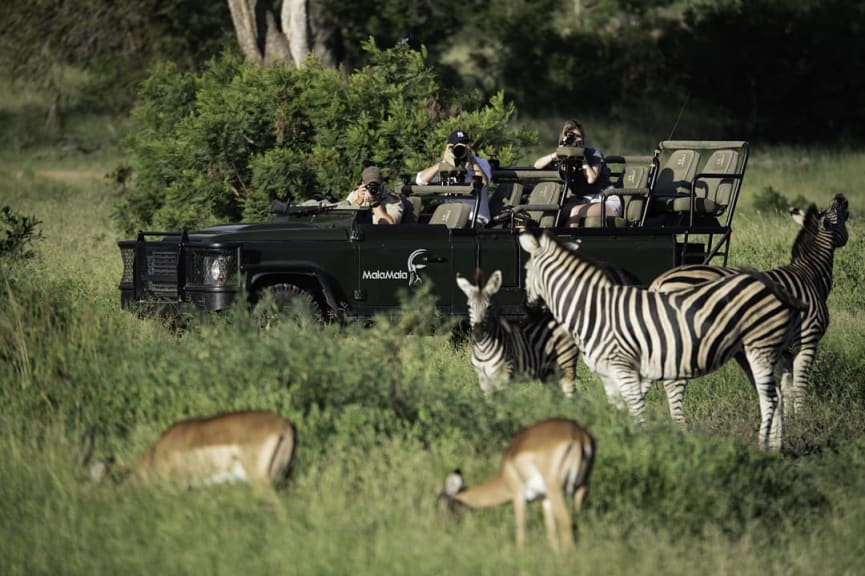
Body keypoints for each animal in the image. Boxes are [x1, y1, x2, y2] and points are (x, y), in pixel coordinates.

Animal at [438, 418, 592, 552]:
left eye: (440, 505)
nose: (441, 530)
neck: (505, 474)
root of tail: (578, 435)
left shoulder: (518, 496)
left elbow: (520, 528)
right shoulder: (544, 499)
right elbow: (551, 532)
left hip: (556, 490)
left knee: (566, 524)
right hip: (580, 489)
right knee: (576, 523)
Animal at [452, 270, 580, 396]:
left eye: (489, 307)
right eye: (469, 306)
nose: (478, 334)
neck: (483, 349)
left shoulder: (504, 375)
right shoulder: (483, 380)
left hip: (566, 363)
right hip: (549, 372)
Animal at [516, 230, 808, 450]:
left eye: (526, 269)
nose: (528, 309)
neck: (593, 309)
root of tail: (770, 283)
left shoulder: (624, 368)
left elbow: (636, 412)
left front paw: (641, 450)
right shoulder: (608, 375)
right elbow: (618, 412)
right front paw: (620, 446)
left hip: (761, 347)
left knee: (769, 398)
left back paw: (762, 447)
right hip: (751, 352)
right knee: (775, 395)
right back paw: (775, 447)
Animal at [652, 194, 848, 418]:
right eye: (841, 214)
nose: (841, 198)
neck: (810, 274)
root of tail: (661, 280)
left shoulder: (786, 350)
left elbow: (786, 386)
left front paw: (788, 418)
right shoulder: (808, 339)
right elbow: (800, 385)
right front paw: (803, 418)